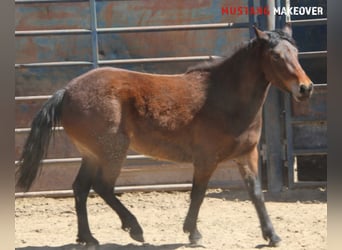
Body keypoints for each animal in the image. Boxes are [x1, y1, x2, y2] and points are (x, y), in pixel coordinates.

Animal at [17, 25, 314, 246]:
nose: (305, 88)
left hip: (92, 154)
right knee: (102, 186)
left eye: (296, 52)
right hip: (112, 152)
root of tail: (66, 91)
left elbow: (256, 194)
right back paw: (134, 228)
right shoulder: (206, 160)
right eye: (275, 56)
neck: (224, 97)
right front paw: (193, 233)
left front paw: (272, 235)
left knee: (80, 188)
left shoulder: (247, 155)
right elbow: (198, 194)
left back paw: (88, 238)